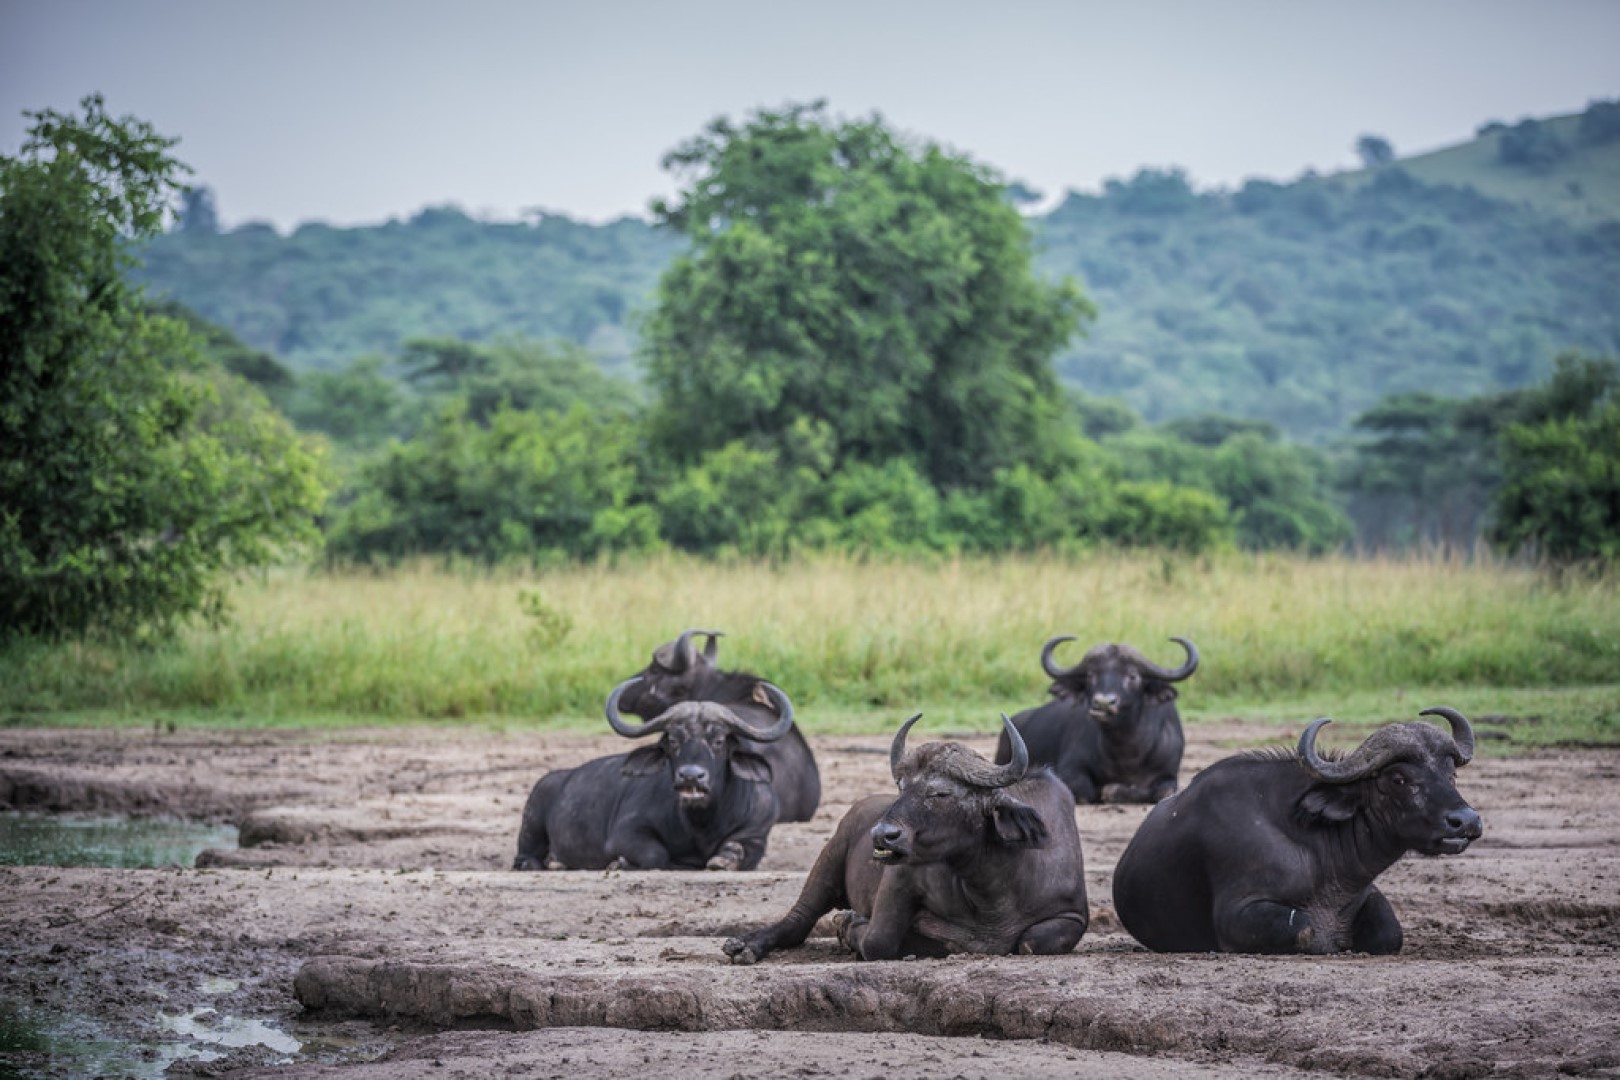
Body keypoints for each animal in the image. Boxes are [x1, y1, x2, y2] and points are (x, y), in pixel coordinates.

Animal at [511, 689, 797, 874]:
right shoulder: (624, 833)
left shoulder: (756, 834)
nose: (691, 776)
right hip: (532, 818)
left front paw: (722, 860)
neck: (701, 823)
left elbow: (739, 851)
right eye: (673, 740)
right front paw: (621, 863)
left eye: (718, 740)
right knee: (524, 857)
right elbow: (656, 854)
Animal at [722, 718, 1088, 965]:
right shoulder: (900, 878)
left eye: (941, 792)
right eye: (901, 786)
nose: (882, 834)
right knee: (798, 919)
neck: (992, 891)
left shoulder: (1073, 915)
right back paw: (746, 946)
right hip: (828, 860)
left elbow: (1030, 941)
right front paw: (848, 925)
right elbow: (878, 941)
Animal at [991, 634, 1198, 803]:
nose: (1103, 702)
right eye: (1091, 674)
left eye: (1133, 675)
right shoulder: (1070, 769)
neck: (1126, 752)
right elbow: (1086, 791)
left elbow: (1161, 792)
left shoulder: (1169, 774)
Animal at [1114, 709, 1483, 952]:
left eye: (1451, 773)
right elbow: (1305, 930)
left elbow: (1391, 934)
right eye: (1398, 779)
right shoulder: (1237, 913)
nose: (1466, 821)